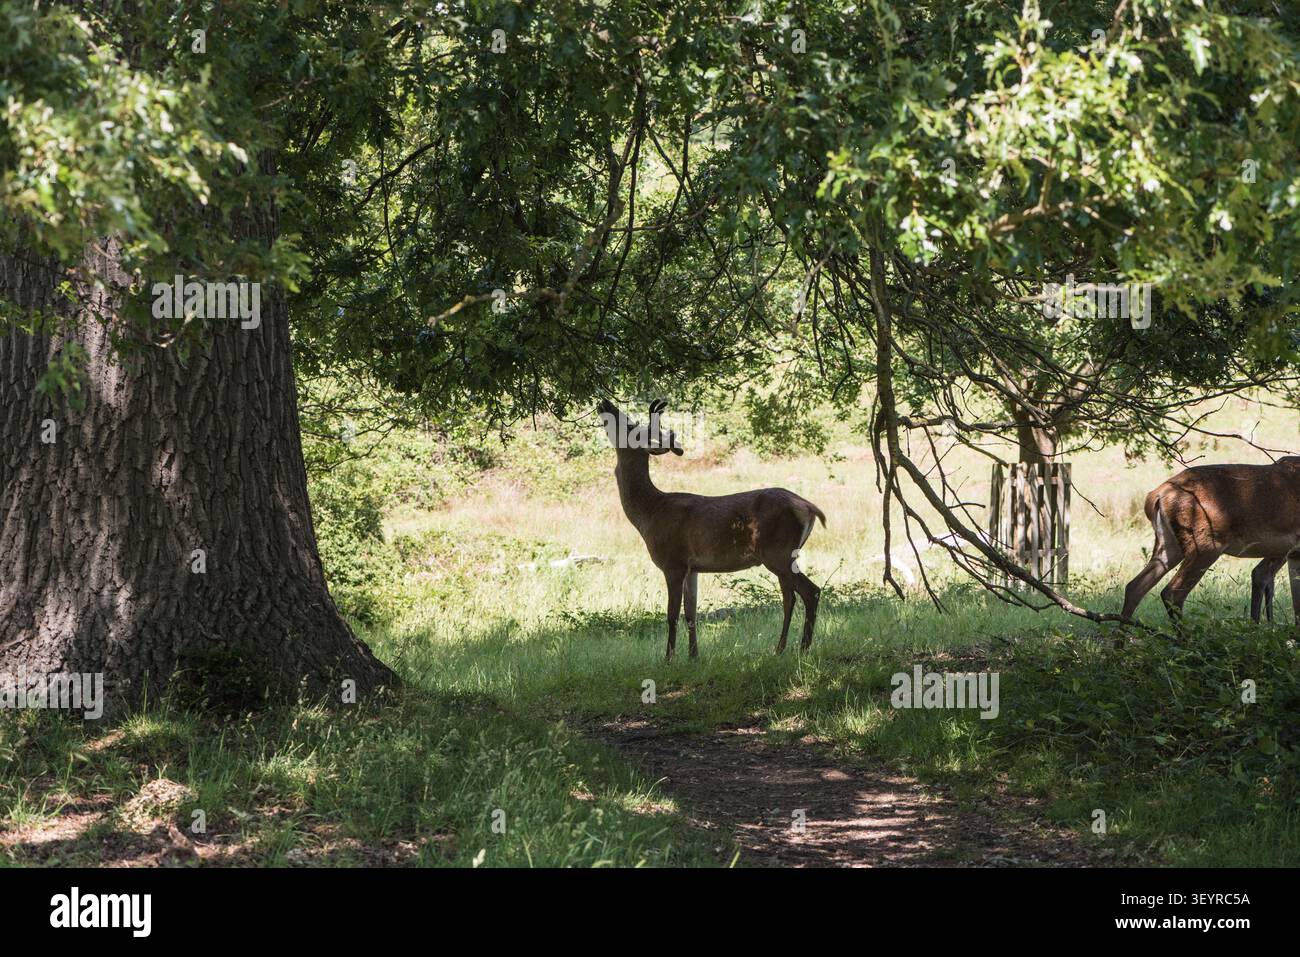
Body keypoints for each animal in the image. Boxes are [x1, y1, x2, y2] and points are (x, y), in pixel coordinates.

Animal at [598, 399, 827, 659]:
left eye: (631, 426)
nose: (605, 402)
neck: (650, 513)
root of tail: (809, 507)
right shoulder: (692, 568)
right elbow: (691, 613)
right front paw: (693, 656)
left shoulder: (673, 563)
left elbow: (671, 615)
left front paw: (669, 658)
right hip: (784, 555)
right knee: (792, 597)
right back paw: (783, 648)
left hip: (777, 552)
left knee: (810, 592)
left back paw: (800, 647)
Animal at [1121, 456, 1300, 627]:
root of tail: (1156, 495)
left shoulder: (1293, 554)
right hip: (1205, 545)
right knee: (1172, 592)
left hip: (1168, 545)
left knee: (1135, 586)